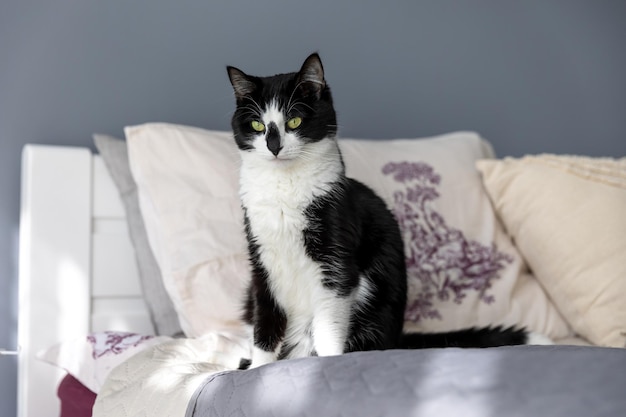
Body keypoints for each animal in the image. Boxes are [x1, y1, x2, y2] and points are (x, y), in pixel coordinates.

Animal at [227, 52, 544, 368]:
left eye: (294, 120)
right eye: (257, 126)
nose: (273, 146)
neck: (284, 188)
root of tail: (397, 339)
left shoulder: (336, 253)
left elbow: (329, 321)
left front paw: (327, 365)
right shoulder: (262, 260)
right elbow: (265, 321)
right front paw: (258, 369)